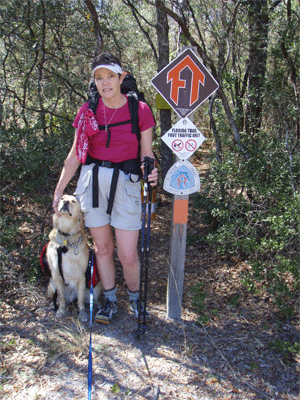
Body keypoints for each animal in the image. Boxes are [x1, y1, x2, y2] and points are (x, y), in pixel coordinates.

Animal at [46, 194, 101, 322]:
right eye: (61, 198)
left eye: (73, 201)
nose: (65, 202)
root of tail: (71, 296)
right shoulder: (56, 274)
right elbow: (61, 297)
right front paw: (61, 310)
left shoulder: (81, 275)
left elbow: (80, 299)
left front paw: (82, 313)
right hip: (51, 284)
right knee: (58, 297)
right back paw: (53, 304)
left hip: (95, 287)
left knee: (90, 298)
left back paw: (96, 303)